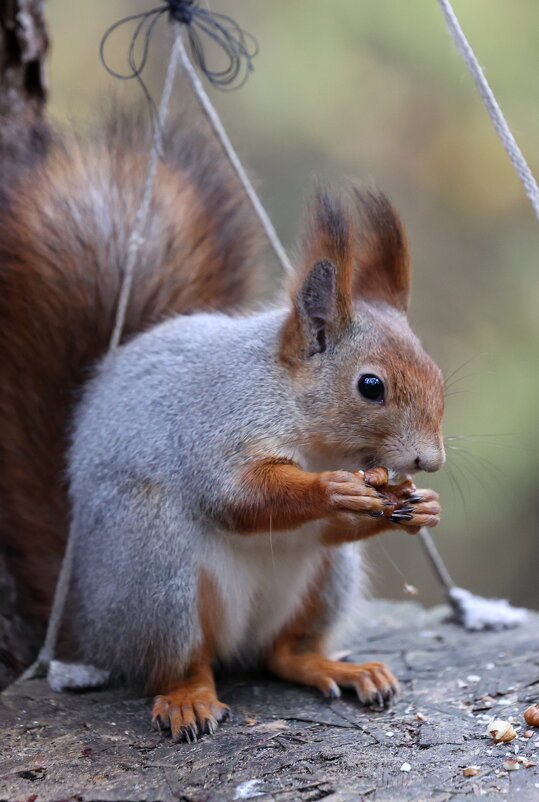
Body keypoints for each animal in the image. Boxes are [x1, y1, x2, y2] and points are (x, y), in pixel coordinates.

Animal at [0, 104, 442, 736]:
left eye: (436, 371)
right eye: (371, 386)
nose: (431, 460)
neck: (313, 433)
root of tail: (86, 624)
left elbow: (329, 526)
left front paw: (418, 507)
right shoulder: (217, 424)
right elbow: (238, 495)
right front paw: (331, 491)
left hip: (324, 582)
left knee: (282, 652)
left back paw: (338, 667)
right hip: (157, 571)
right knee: (178, 663)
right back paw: (188, 697)